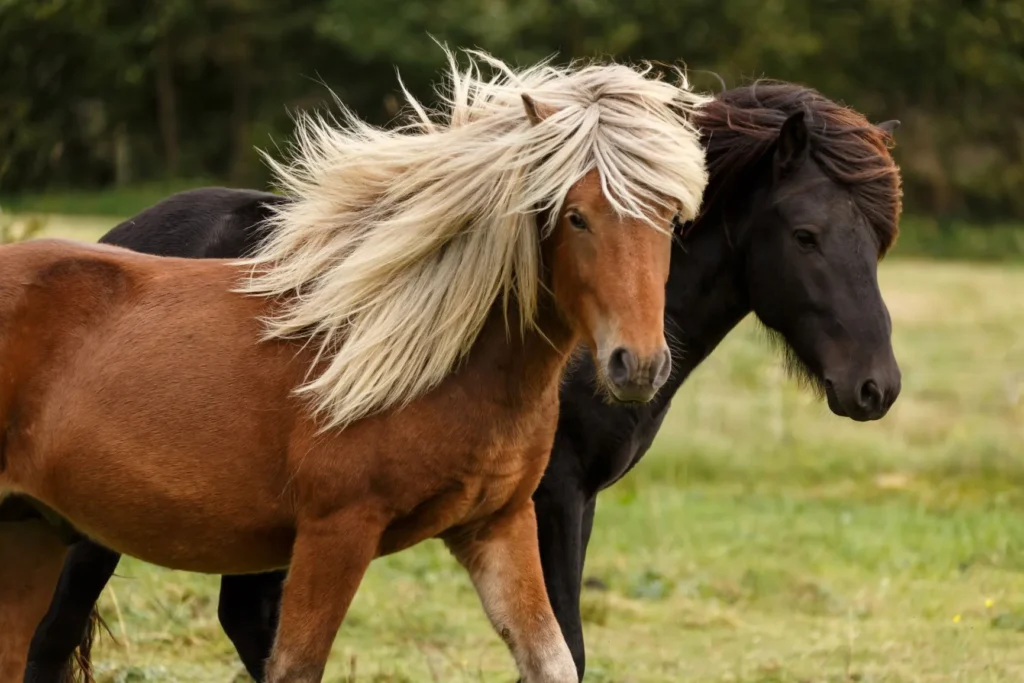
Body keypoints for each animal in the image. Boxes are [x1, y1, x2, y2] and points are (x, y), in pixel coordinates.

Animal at [19, 81, 903, 683]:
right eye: (807, 234)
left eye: (878, 238)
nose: (877, 387)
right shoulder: (554, 498)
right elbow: (570, 638)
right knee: (53, 633)